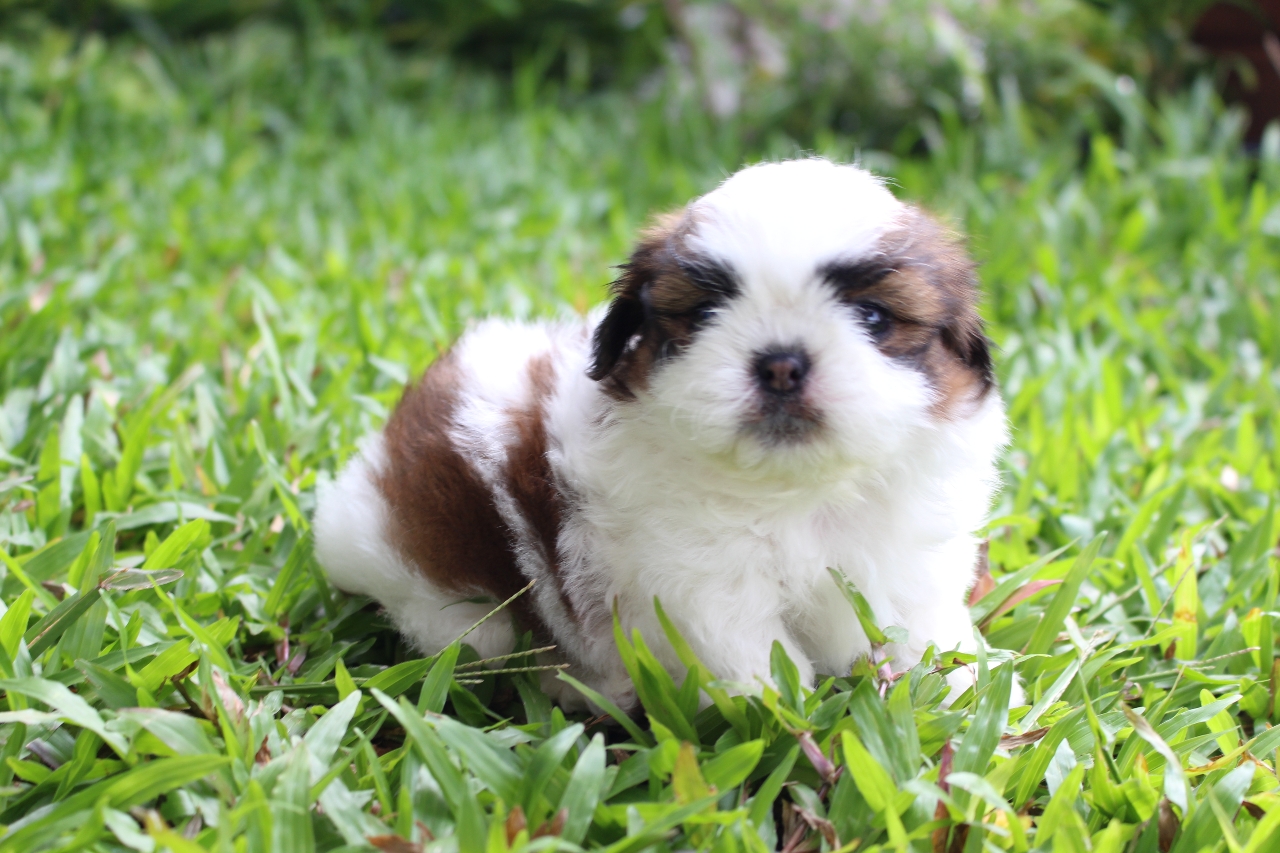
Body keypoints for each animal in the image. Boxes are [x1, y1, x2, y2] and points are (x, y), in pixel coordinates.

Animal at [314, 158, 1011, 710]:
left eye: (872, 316)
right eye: (704, 314)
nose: (781, 363)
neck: (797, 491)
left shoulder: (905, 556)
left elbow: (922, 628)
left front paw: (961, 690)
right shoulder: (698, 585)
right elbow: (750, 655)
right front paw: (780, 719)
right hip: (446, 598)